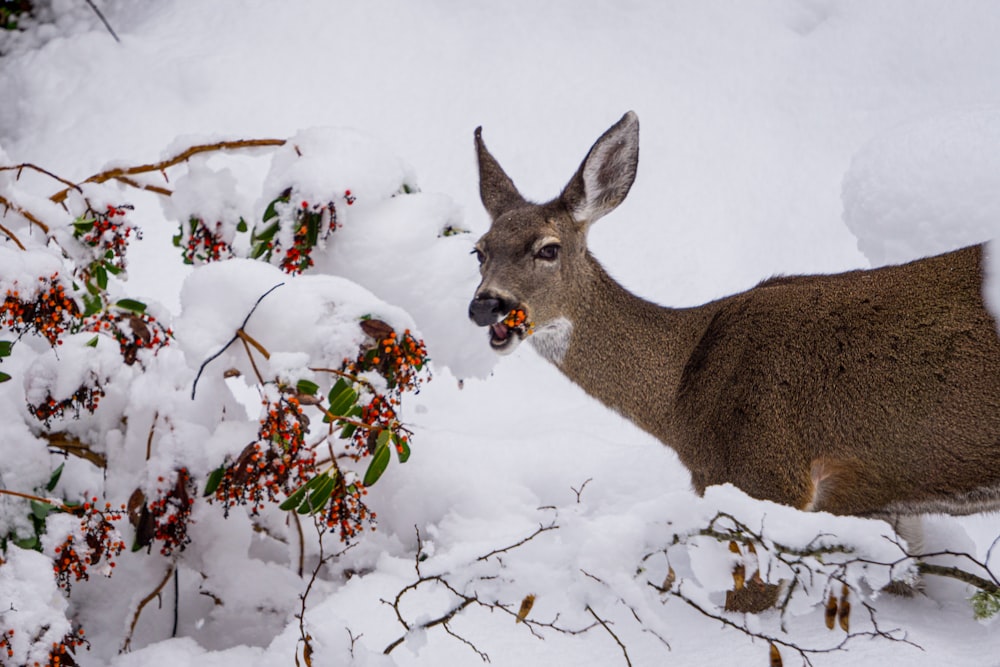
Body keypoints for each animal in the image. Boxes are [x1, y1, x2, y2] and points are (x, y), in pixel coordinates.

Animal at [466, 111, 1000, 604]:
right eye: (478, 251)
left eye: (548, 249)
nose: (486, 304)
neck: (682, 398)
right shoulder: (884, 506)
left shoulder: (764, 474)